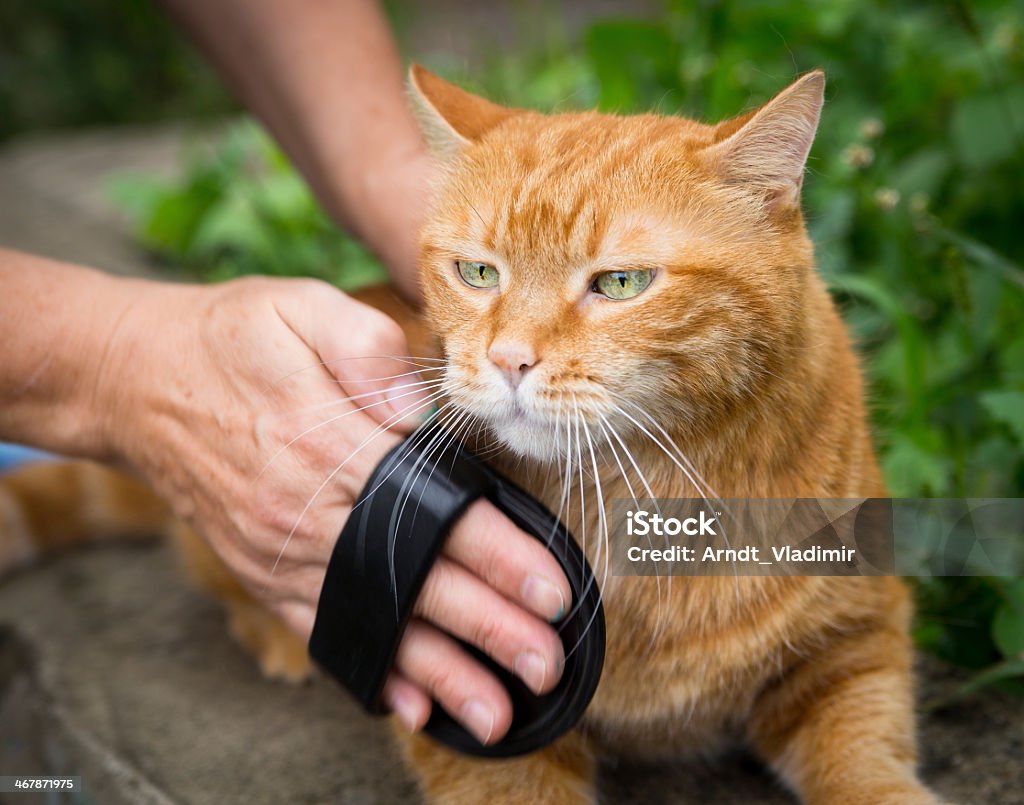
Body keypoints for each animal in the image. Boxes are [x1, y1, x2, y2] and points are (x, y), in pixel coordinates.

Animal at [0, 67, 942, 802]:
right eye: (478, 272)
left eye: (621, 283)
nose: (509, 357)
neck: (643, 496)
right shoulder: (473, 711)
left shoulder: (857, 639)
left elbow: (865, 759)